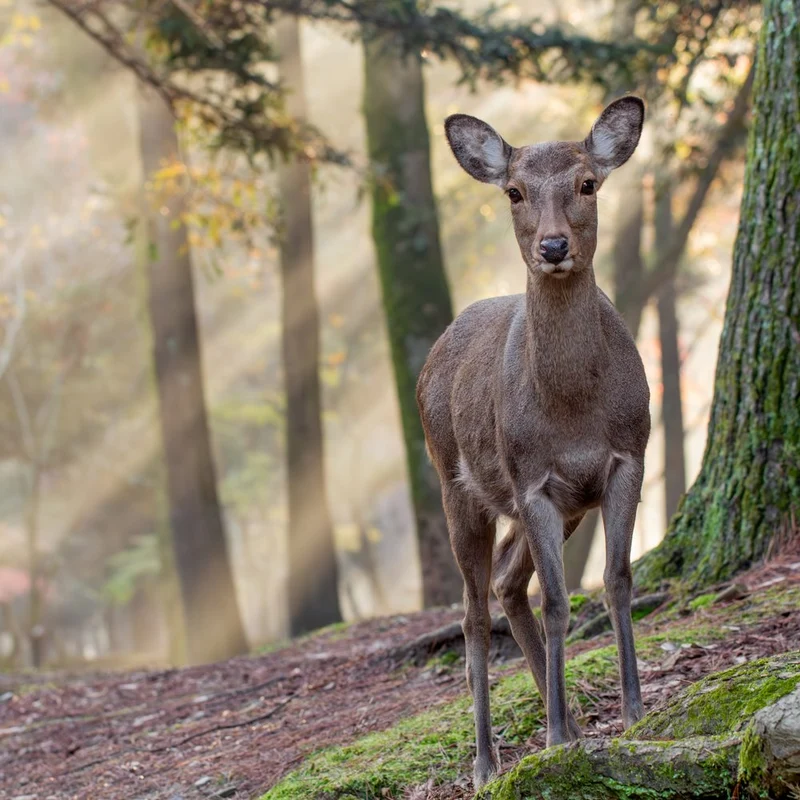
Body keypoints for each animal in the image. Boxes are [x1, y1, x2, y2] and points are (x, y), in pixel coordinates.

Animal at [416, 96, 650, 789]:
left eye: (588, 183)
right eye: (514, 191)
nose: (552, 245)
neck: (573, 412)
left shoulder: (629, 456)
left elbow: (617, 579)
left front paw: (633, 713)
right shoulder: (533, 481)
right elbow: (558, 603)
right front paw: (549, 736)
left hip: (554, 506)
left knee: (507, 582)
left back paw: (567, 721)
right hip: (458, 484)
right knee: (472, 612)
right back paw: (486, 763)